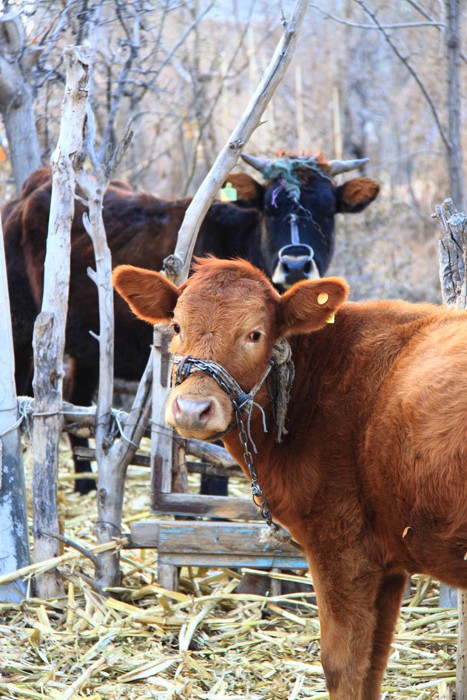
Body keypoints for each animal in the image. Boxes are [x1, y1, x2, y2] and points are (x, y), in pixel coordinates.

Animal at [4, 152, 380, 492]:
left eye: (328, 210)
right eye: (270, 209)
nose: (297, 263)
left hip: (88, 348)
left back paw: (85, 483)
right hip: (21, 333)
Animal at [112, 258, 467, 700]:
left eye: (255, 334)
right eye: (176, 326)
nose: (193, 409)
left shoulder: (342, 550)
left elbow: (344, 667)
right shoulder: (387, 562)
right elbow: (375, 663)